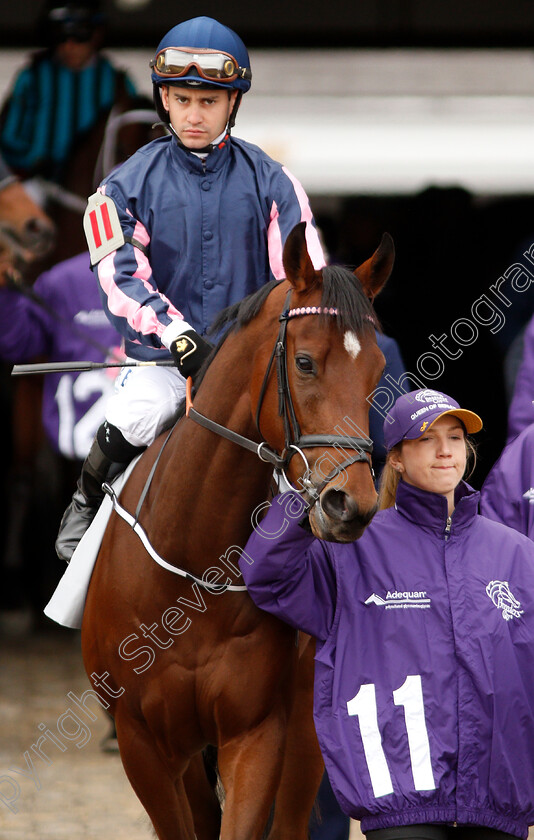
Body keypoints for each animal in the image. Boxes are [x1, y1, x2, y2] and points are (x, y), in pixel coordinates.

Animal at [81, 223, 396, 840]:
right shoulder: (143, 746)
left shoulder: (257, 735)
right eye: (305, 362)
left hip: (304, 735)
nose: (350, 505)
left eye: (376, 370)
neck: (193, 572)